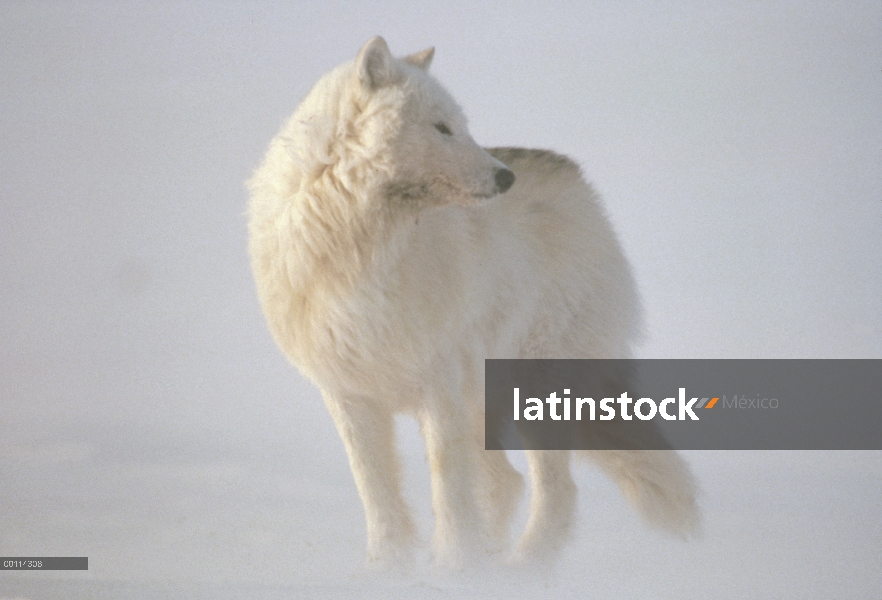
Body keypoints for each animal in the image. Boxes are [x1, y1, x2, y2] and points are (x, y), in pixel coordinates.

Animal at [246, 37, 696, 568]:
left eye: (462, 125)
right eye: (442, 128)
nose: (506, 179)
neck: (360, 247)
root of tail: (579, 181)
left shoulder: (439, 386)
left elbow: (449, 492)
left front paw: (453, 568)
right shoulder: (348, 395)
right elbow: (377, 493)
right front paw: (390, 568)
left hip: (536, 394)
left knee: (555, 493)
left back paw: (522, 570)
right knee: (508, 484)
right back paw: (494, 566)